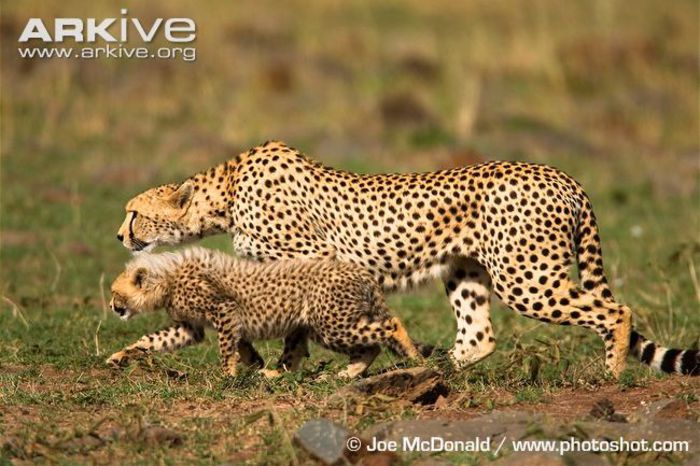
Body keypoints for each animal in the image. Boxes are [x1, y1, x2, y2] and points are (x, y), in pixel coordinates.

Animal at [117, 140, 696, 376]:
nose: (121, 236)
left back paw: (610, 374)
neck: (228, 190)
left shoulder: (314, 260)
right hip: (466, 271)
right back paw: (426, 366)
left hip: (526, 277)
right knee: (478, 336)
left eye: (133, 214)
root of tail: (562, 175)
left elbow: (297, 328)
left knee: (615, 311)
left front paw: (282, 369)